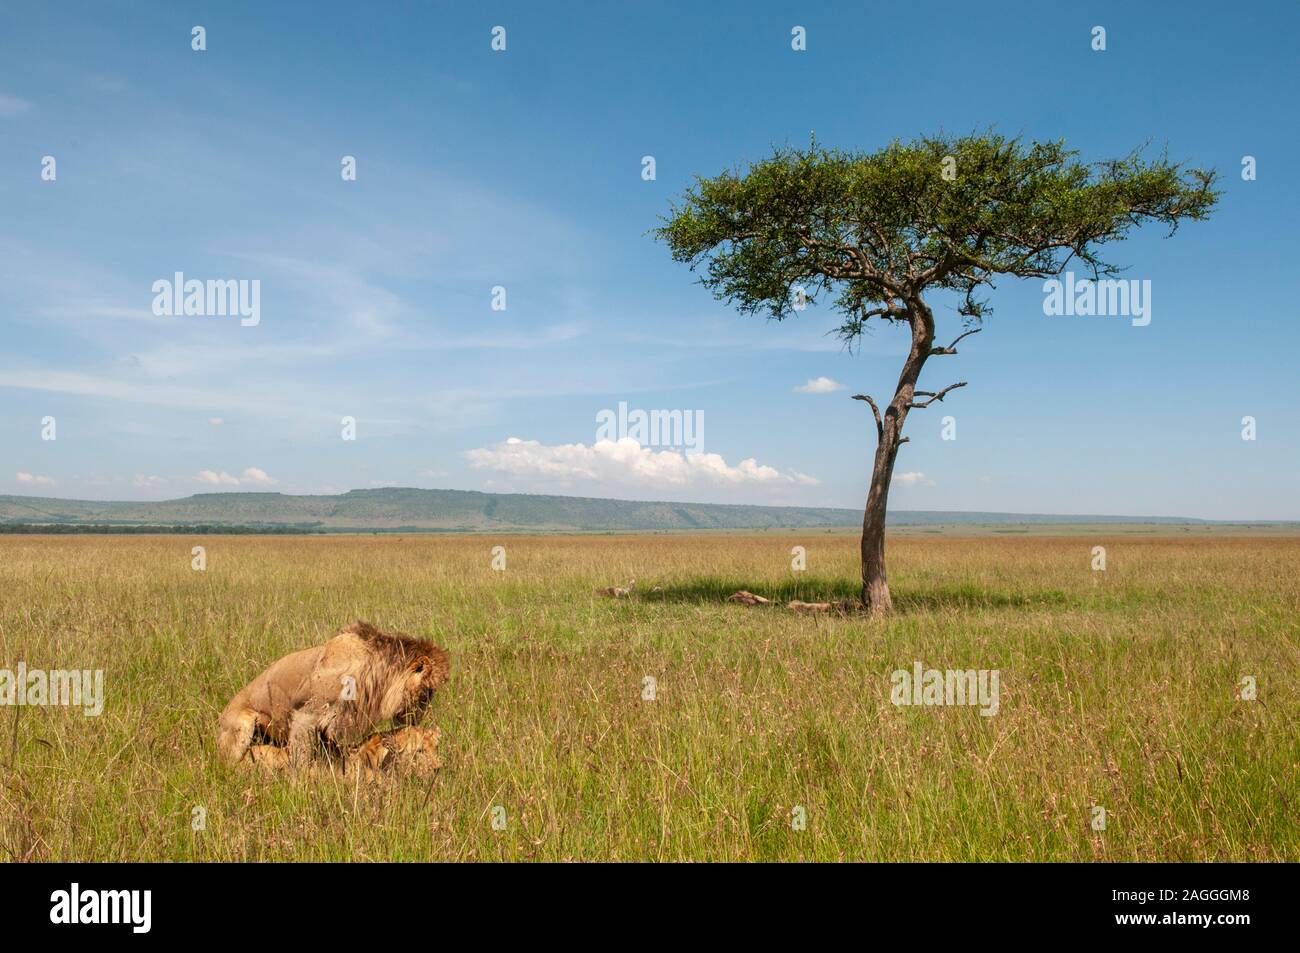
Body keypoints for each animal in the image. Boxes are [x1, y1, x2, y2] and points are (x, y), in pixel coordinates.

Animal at [218, 621, 450, 766]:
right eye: (427, 693)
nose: (416, 720)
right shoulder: (306, 715)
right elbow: (301, 757)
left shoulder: (334, 726)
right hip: (242, 725)